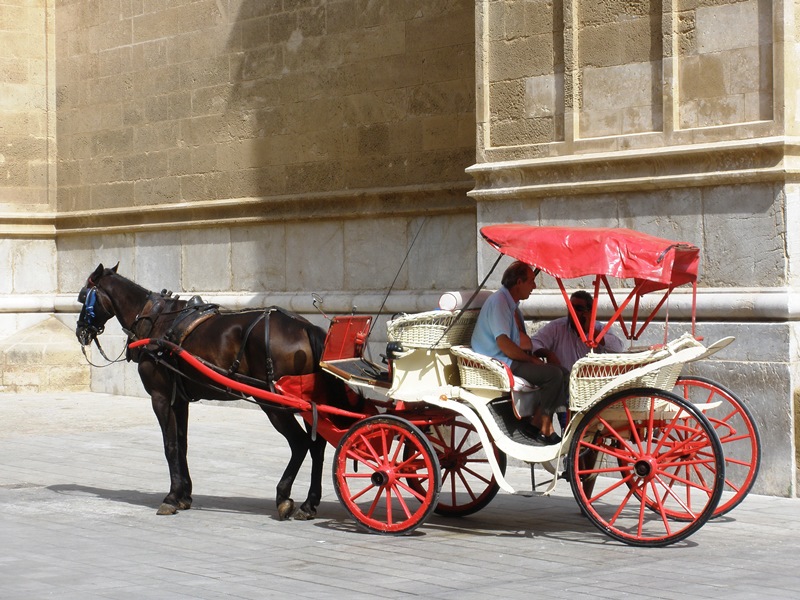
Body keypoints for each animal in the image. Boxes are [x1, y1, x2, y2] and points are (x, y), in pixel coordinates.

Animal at [75, 262, 350, 520]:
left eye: (82, 296)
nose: (80, 331)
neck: (157, 321)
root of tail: (305, 327)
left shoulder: (160, 397)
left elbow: (170, 445)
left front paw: (171, 497)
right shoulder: (179, 400)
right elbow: (182, 444)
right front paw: (184, 495)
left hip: (273, 403)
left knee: (300, 443)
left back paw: (284, 496)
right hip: (308, 402)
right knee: (316, 446)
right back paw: (309, 503)